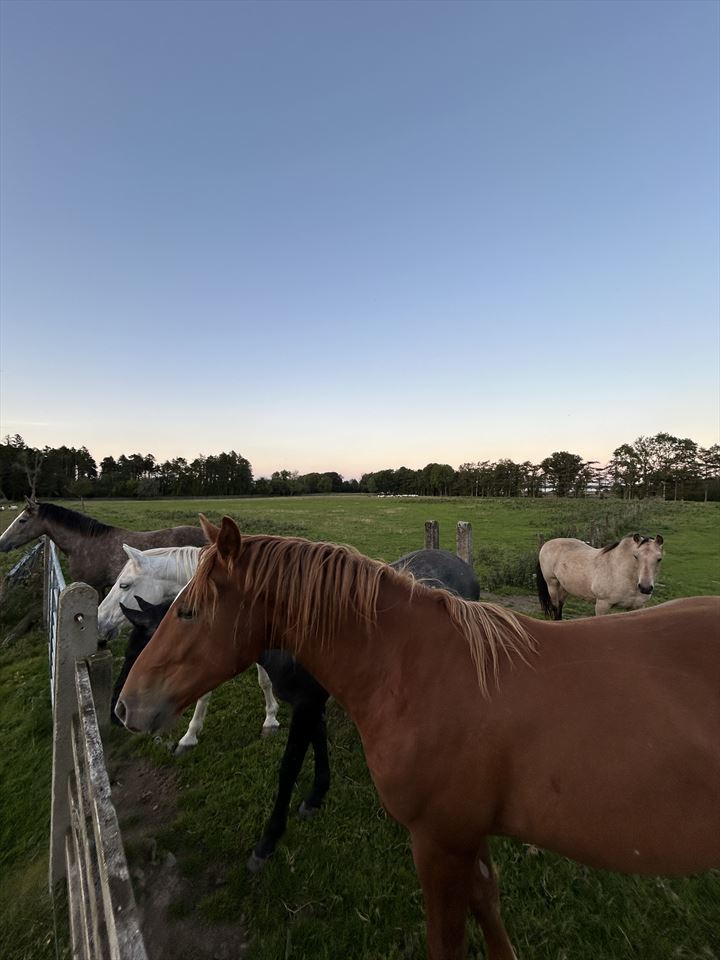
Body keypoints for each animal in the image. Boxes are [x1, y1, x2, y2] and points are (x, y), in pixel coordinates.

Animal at [108, 538, 480, 872]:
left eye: (142, 646)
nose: (119, 712)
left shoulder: (307, 704)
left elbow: (288, 767)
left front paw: (268, 841)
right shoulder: (311, 703)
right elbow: (318, 742)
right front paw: (317, 795)